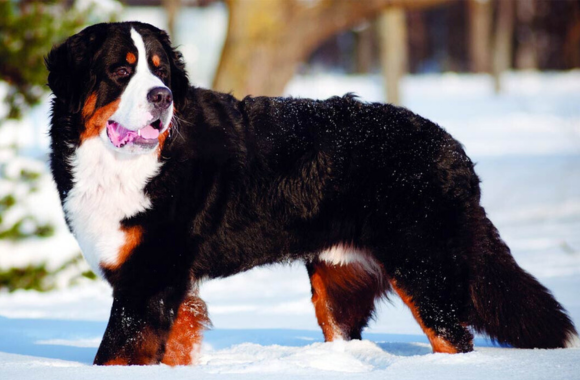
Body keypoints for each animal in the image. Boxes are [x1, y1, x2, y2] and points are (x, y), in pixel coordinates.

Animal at [45, 21, 576, 366]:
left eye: (161, 72)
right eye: (120, 71)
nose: (163, 97)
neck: (122, 167)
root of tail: (452, 147)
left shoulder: (148, 277)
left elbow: (115, 354)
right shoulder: (163, 283)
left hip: (425, 269)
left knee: (453, 339)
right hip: (338, 284)